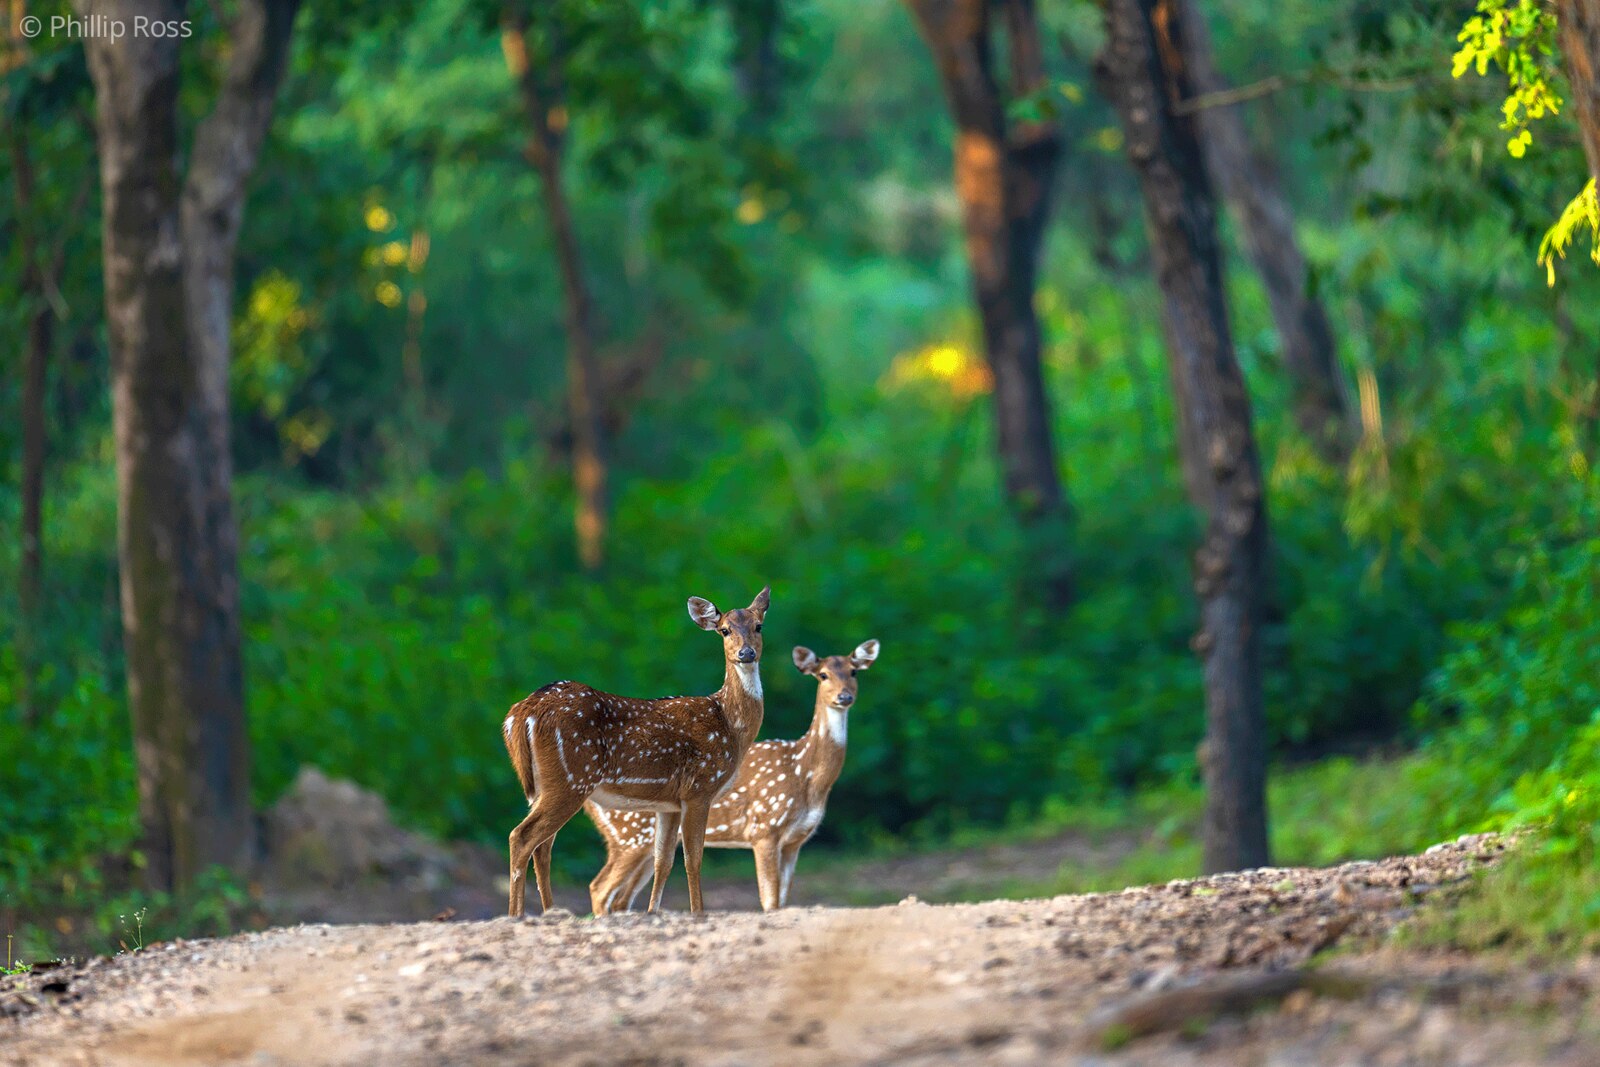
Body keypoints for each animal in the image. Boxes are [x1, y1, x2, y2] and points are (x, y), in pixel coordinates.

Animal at [501, 586, 770, 916]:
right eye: (724, 630)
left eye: (758, 626)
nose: (746, 654)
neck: (730, 725)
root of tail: (520, 713)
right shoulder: (700, 788)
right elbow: (692, 860)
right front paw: (698, 913)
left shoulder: (670, 803)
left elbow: (663, 862)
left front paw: (653, 913)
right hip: (571, 779)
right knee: (522, 837)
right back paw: (517, 915)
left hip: (549, 784)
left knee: (543, 846)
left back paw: (551, 912)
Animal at [585, 639, 879, 913]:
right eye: (823, 675)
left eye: (854, 672)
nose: (844, 697)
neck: (806, 775)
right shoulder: (765, 829)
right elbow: (770, 902)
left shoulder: (795, 841)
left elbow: (783, 901)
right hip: (630, 835)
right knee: (600, 888)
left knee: (621, 898)